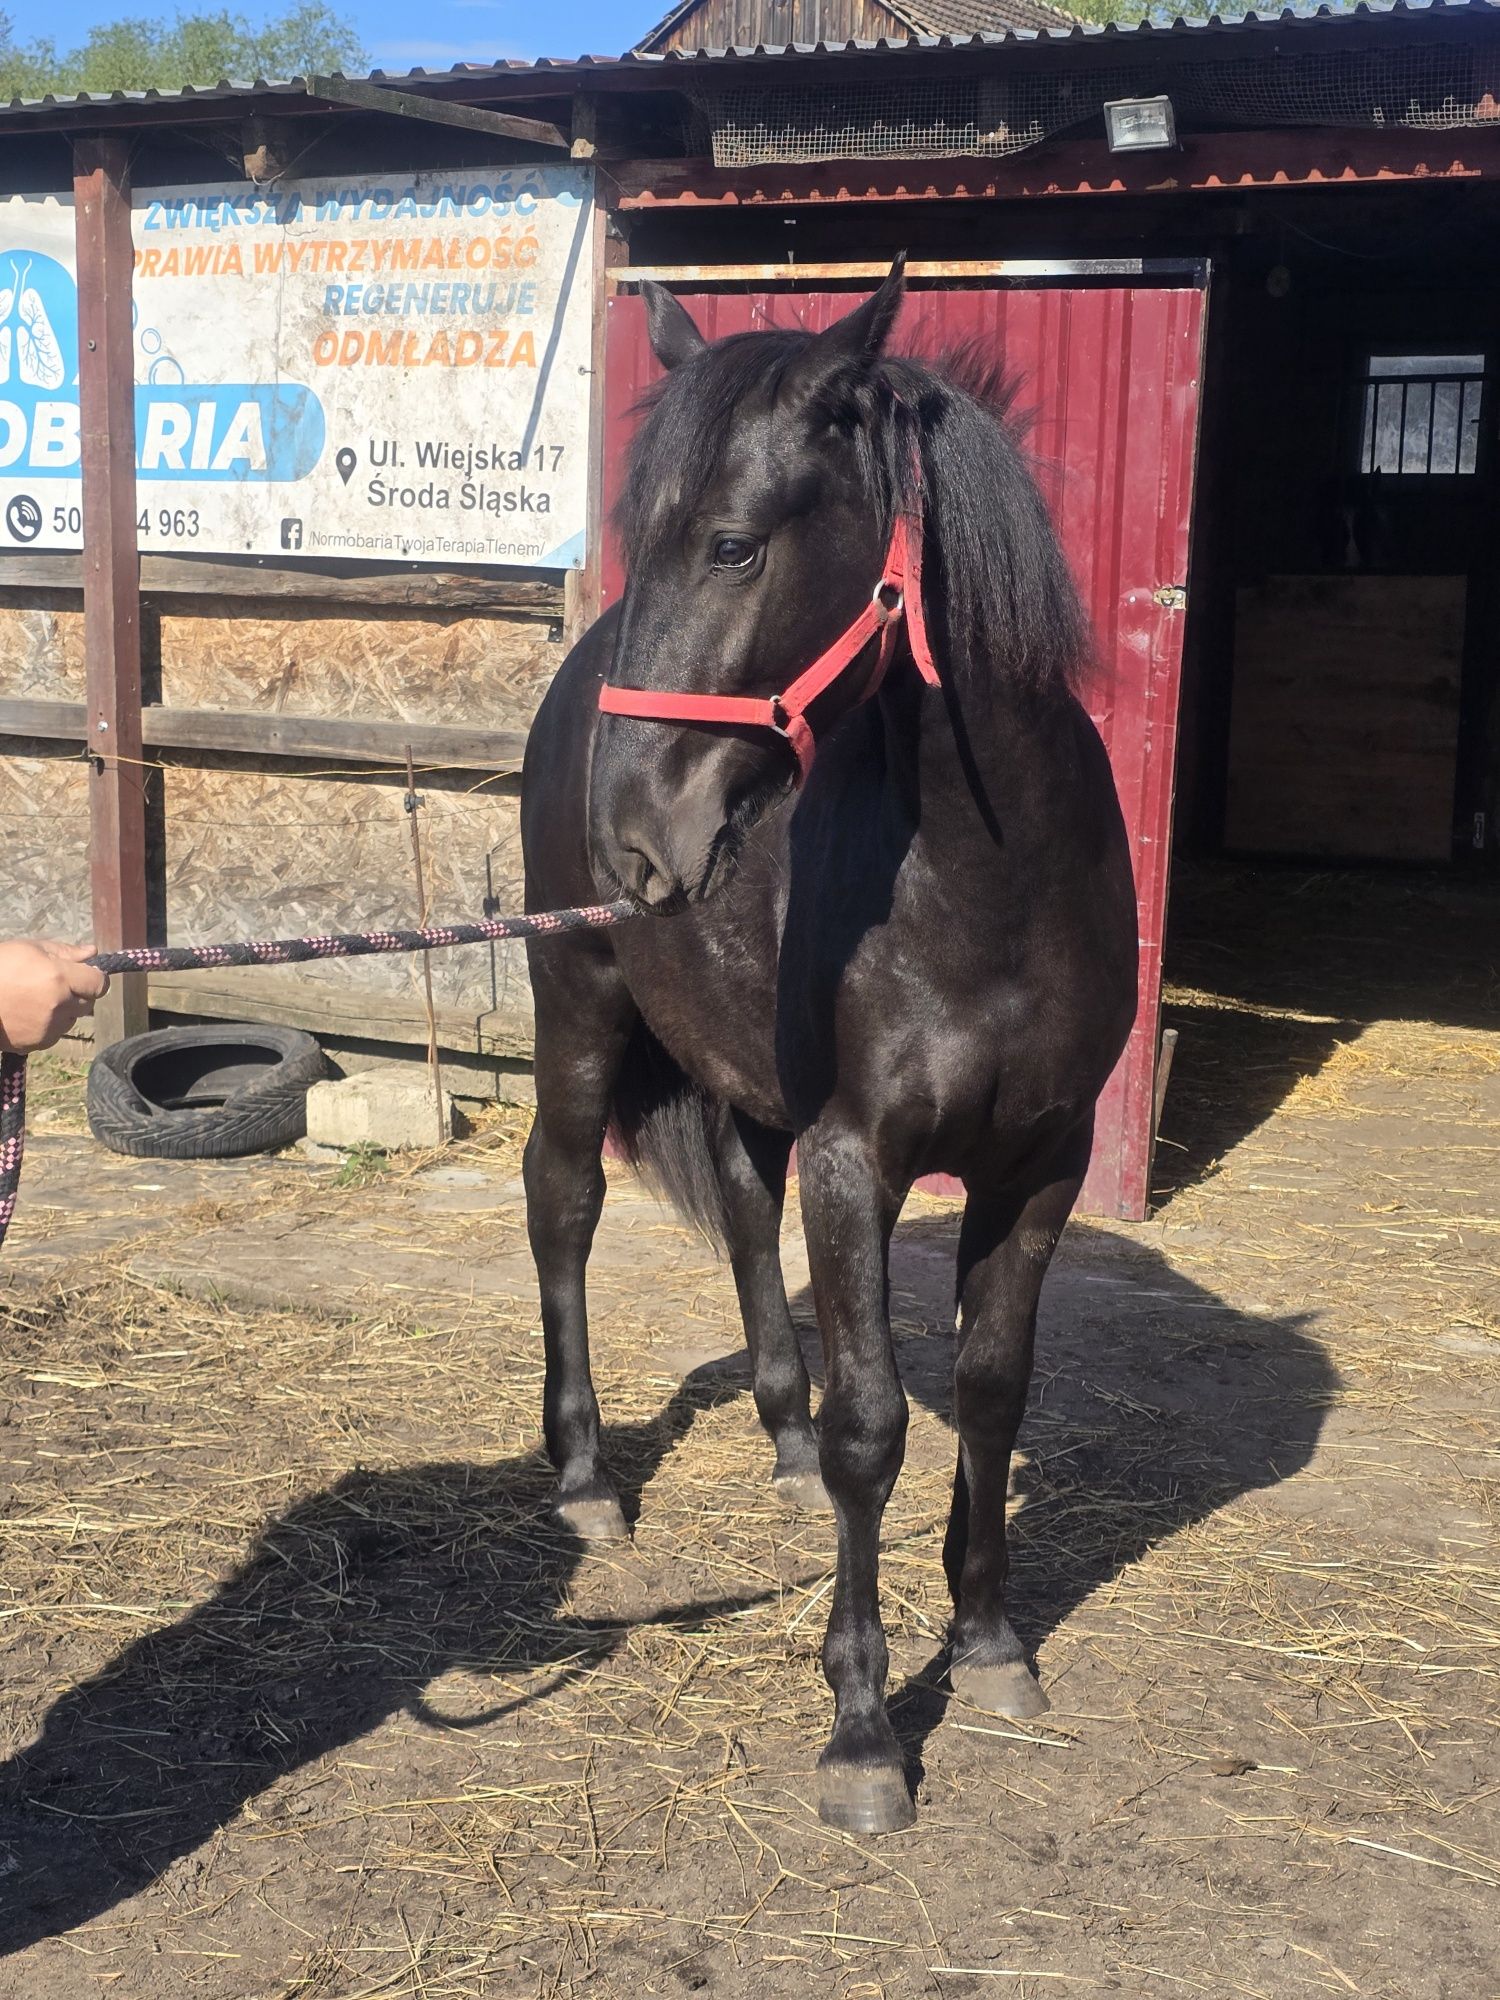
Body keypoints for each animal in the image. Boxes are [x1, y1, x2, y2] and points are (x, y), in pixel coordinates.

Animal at [520, 258, 1136, 1832]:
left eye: (735, 544)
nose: (630, 834)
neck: (993, 882)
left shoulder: (1041, 1160)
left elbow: (989, 1388)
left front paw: (988, 1638)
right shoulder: (861, 1158)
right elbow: (880, 1423)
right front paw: (863, 1727)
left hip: (746, 1077)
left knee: (745, 1214)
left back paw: (779, 1446)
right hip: (580, 1014)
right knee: (565, 1203)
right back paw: (588, 1478)